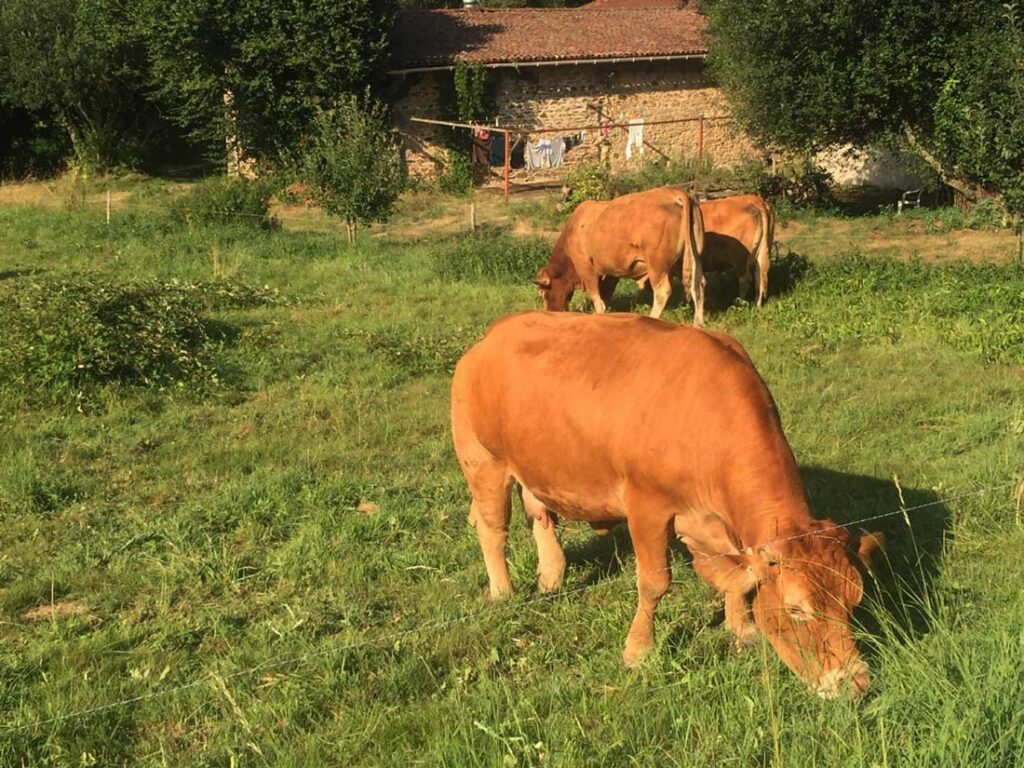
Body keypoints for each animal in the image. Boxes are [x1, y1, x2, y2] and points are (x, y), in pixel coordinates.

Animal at [452, 311, 884, 696]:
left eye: (854, 601)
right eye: (796, 609)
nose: (855, 684)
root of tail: (496, 333)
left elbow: (739, 577)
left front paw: (741, 626)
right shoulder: (647, 507)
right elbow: (654, 583)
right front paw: (638, 650)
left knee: (540, 515)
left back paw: (551, 576)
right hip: (483, 461)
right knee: (493, 529)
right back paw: (503, 591)